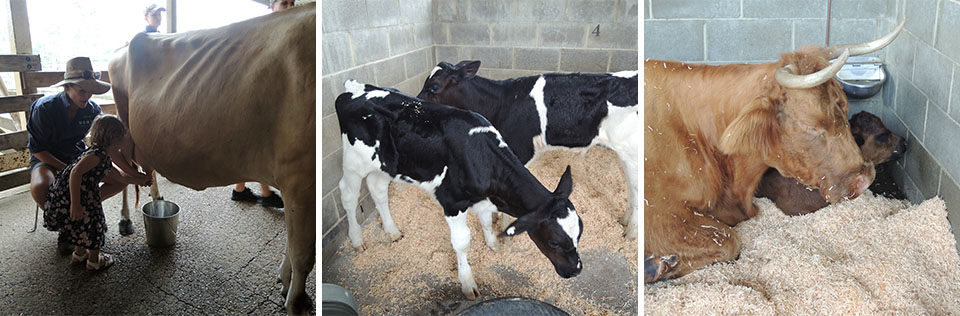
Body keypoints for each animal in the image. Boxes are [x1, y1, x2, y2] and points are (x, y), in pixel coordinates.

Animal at [338, 79, 580, 298]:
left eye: (580, 232)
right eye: (554, 242)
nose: (576, 270)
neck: (482, 157)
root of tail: (354, 88)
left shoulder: (482, 198)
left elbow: (485, 221)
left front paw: (493, 244)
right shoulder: (452, 202)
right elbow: (462, 242)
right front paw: (467, 282)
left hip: (384, 164)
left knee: (378, 190)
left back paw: (392, 231)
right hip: (352, 162)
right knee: (348, 196)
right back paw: (357, 240)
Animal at [414, 61, 636, 239]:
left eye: (434, 87)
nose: (415, 103)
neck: (502, 103)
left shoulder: (517, 152)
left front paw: (506, 230)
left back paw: (631, 233)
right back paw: (625, 221)